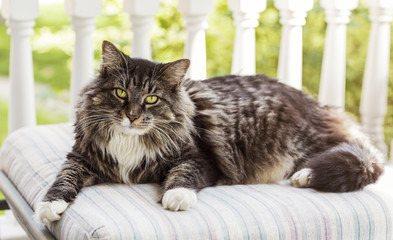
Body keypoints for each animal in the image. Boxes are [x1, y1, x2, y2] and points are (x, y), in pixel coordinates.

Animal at [34, 40, 382, 226]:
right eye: (121, 93)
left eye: (151, 99)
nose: (132, 116)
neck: (130, 140)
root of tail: (318, 106)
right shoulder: (80, 158)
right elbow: (62, 179)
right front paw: (49, 206)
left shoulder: (198, 157)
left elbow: (183, 175)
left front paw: (176, 197)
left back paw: (305, 176)